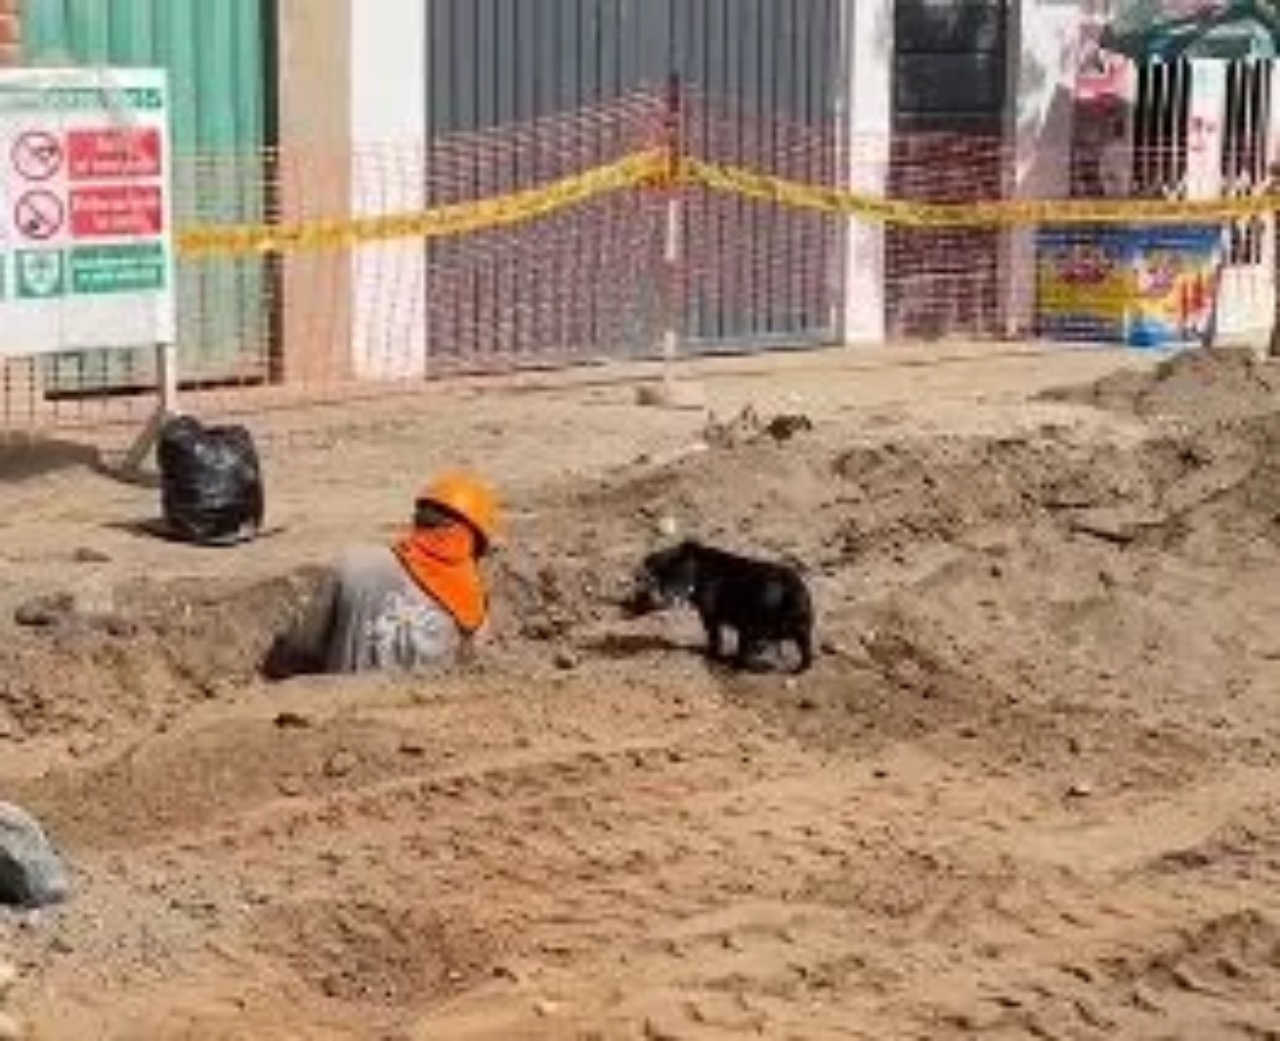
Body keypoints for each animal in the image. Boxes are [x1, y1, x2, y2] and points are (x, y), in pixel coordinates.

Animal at [627, 535, 814, 676]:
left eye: (679, 571)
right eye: (662, 576)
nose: (671, 597)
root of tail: (793, 591)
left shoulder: (710, 614)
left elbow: (715, 637)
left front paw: (711, 655)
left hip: (753, 627)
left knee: (749, 650)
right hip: (800, 629)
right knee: (804, 652)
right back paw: (795, 669)